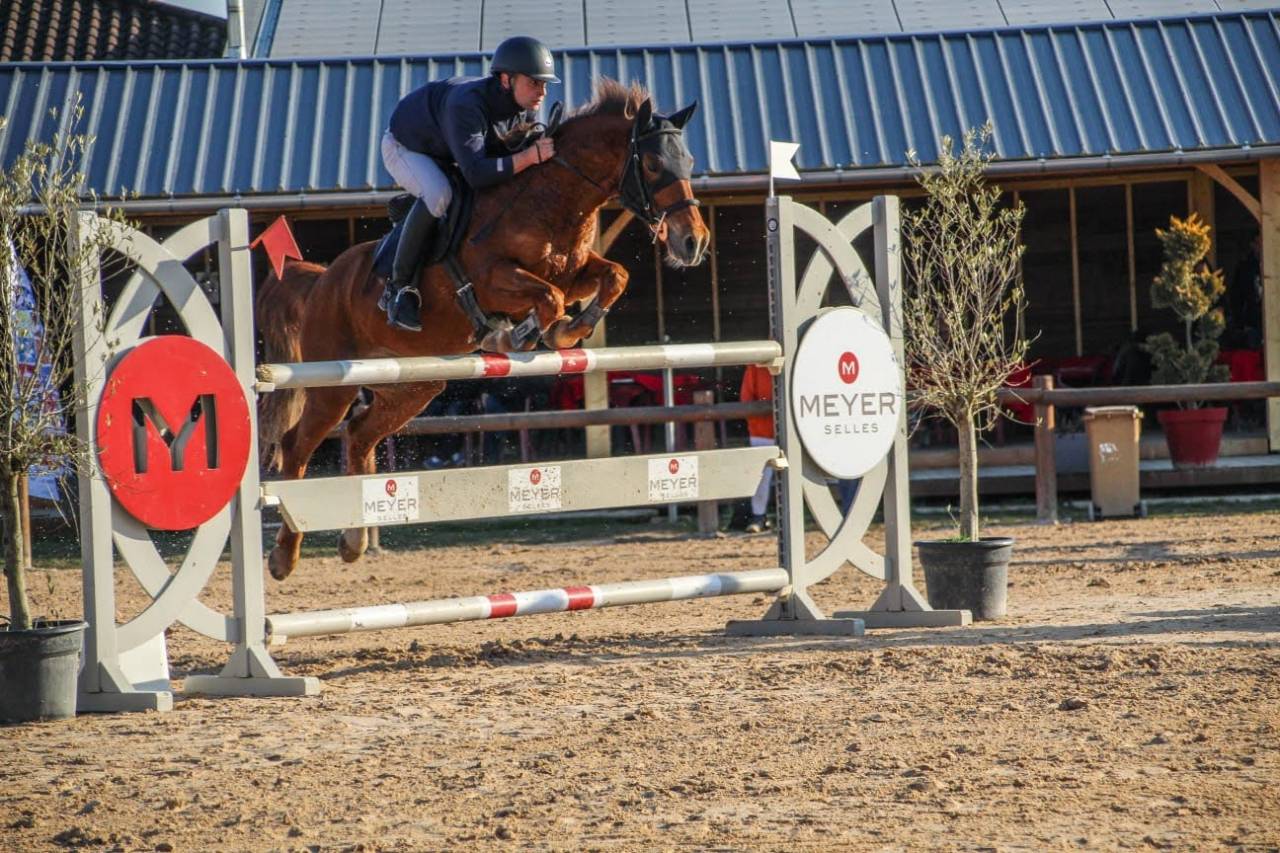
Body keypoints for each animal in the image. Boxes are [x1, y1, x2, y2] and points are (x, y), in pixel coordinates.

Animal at [256, 78, 710, 581]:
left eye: (689, 162)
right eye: (652, 164)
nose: (693, 241)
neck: (553, 199)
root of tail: (321, 279)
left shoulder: (575, 271)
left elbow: (612, 276)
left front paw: (568, 331)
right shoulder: (493, 278)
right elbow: (548, 298)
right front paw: (520, 334)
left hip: (412, 385)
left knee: (358, 436)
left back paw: (353, 542)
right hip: (332, 384)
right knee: (297, 446)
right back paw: (283, 557)